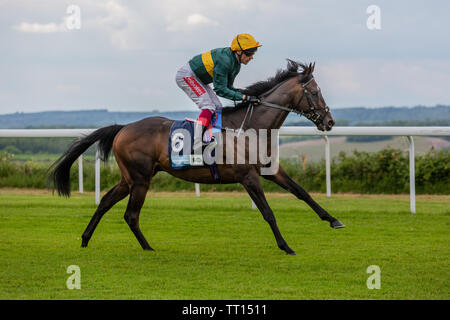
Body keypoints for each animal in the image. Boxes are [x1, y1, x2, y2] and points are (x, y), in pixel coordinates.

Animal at [50, 59, 344, 255]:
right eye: (314, 92)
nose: (329, 121)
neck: (252, 127)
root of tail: (123, 128)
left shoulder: (270, 169)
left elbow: (302, 192)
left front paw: (334, 220)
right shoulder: (248, 176)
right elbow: (268, 212)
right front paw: (286, 246)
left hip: (130, 178)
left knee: (105, 203)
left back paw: (86, 238)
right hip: (140, 179)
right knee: (131, 215)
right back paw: (147, 247)